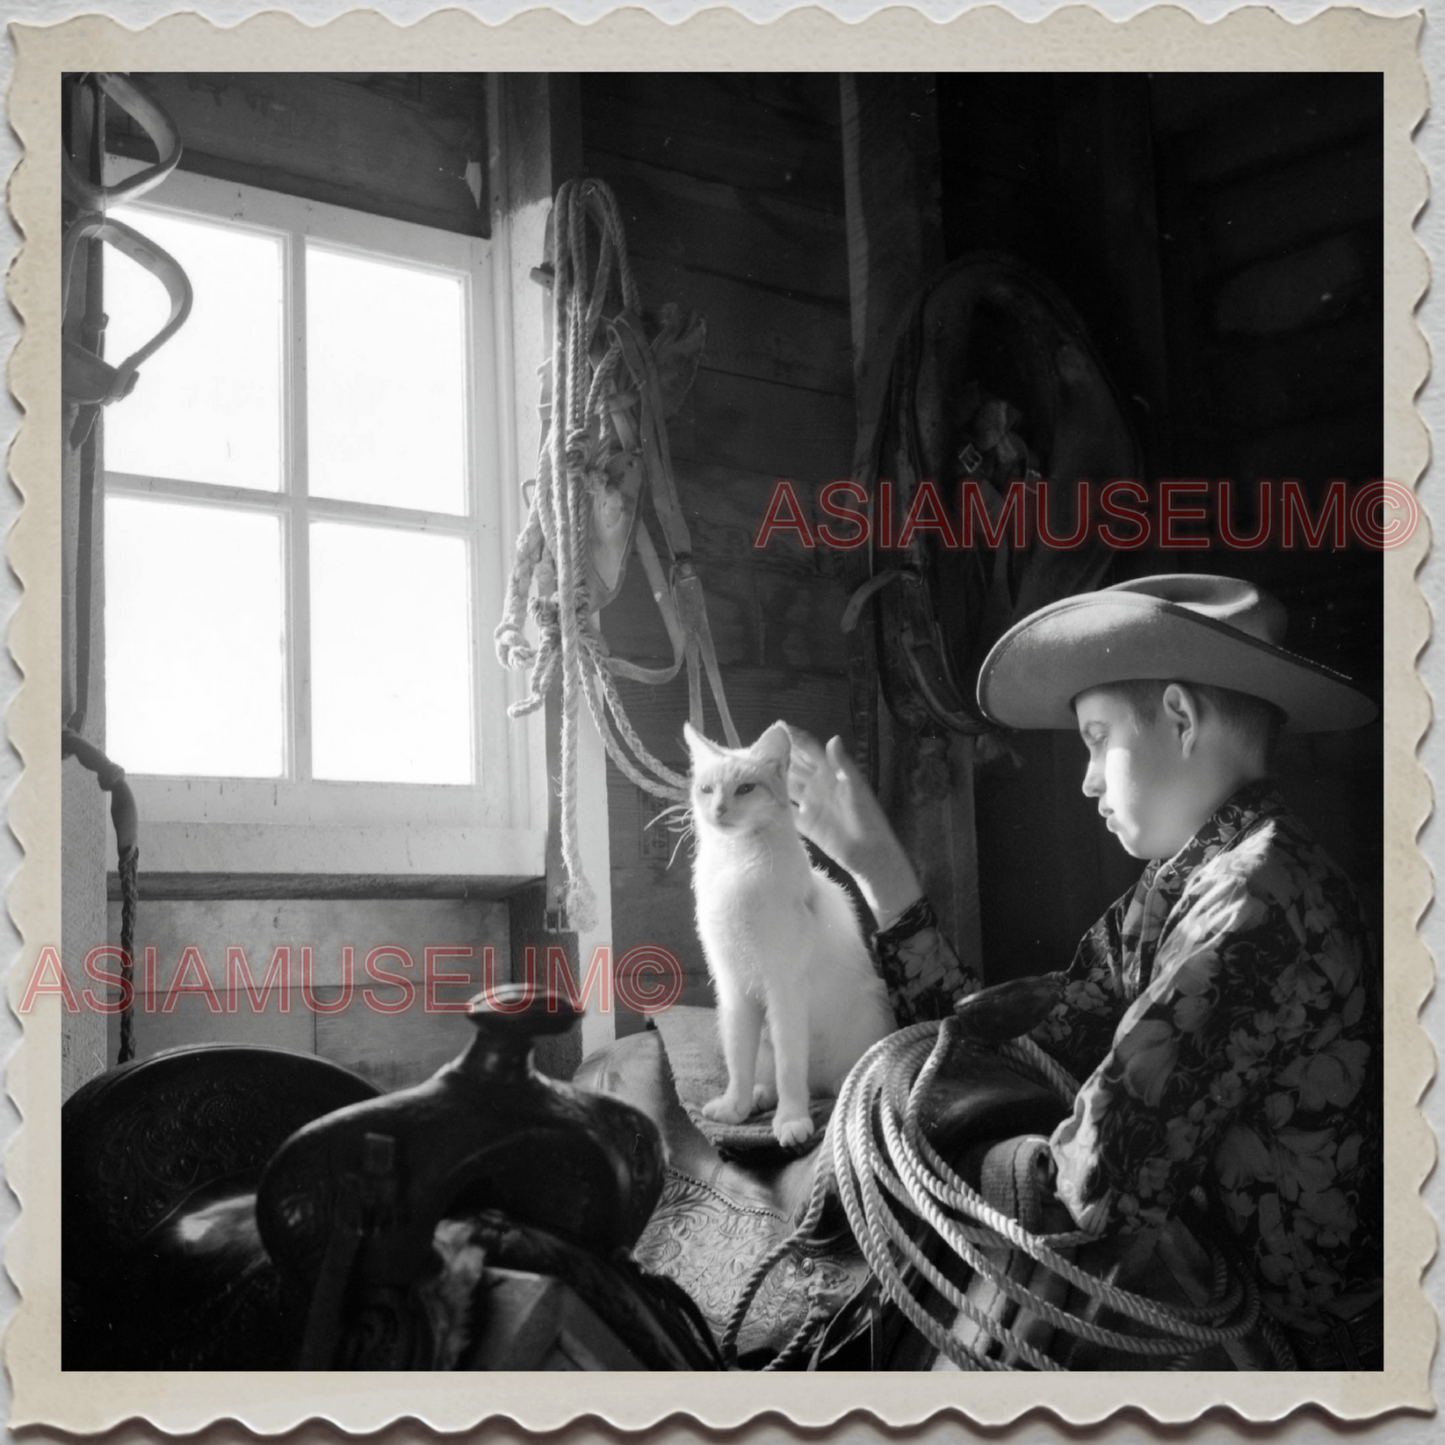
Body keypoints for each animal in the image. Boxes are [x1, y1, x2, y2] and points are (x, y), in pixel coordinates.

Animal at [682, 716, 895, 1144]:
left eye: (745, 789)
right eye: (707, 789)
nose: (718, 809)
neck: (735, 861)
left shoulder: (784, 990)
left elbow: (790, 1067)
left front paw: (791, 1120)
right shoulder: (734, 990)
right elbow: (739, 1061)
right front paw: (734, 1108)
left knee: (829, 1080)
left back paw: (831, 1088)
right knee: (775, 1076)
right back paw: (759, 1097)